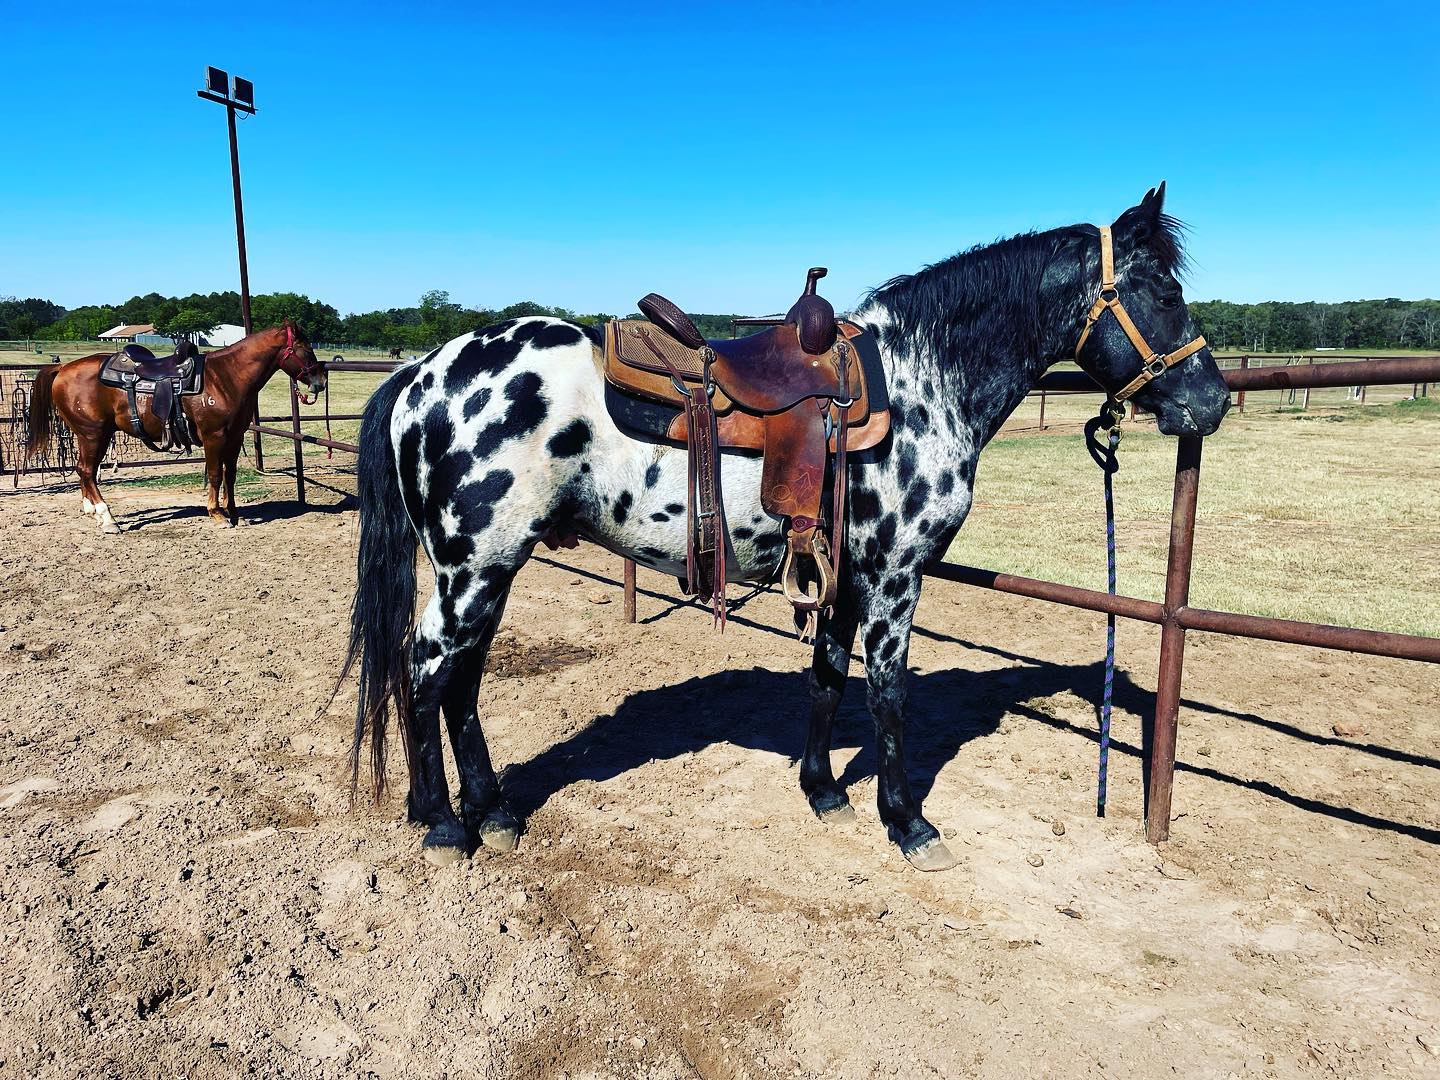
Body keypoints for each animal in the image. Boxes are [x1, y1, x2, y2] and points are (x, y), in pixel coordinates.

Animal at [26, 320, 327, 533]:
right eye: (306, 348)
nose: (320, 382)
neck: (226, 376)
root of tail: (63, 369)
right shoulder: (214, 437)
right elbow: (215, 474)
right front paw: (217, 515)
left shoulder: (234, 437)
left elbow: (230, 476)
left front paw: (235, 513)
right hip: (94, 434)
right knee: (88, 471)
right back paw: (108, 518)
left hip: (88, 434)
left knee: (82, 470)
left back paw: (91, 510)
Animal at [340, 184, 1231, 871]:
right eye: (1162, 291)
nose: (1212, 402)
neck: (922, 383)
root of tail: (420, 374)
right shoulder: (895, 575)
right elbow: (888, 692)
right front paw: (909, 824)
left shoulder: (846, 572)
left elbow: (828, 675)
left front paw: (823, 790)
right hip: (473, 569)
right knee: (426, 673)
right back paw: (442, 824)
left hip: (490, 570)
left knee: (461, 681)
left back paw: (491, 812)